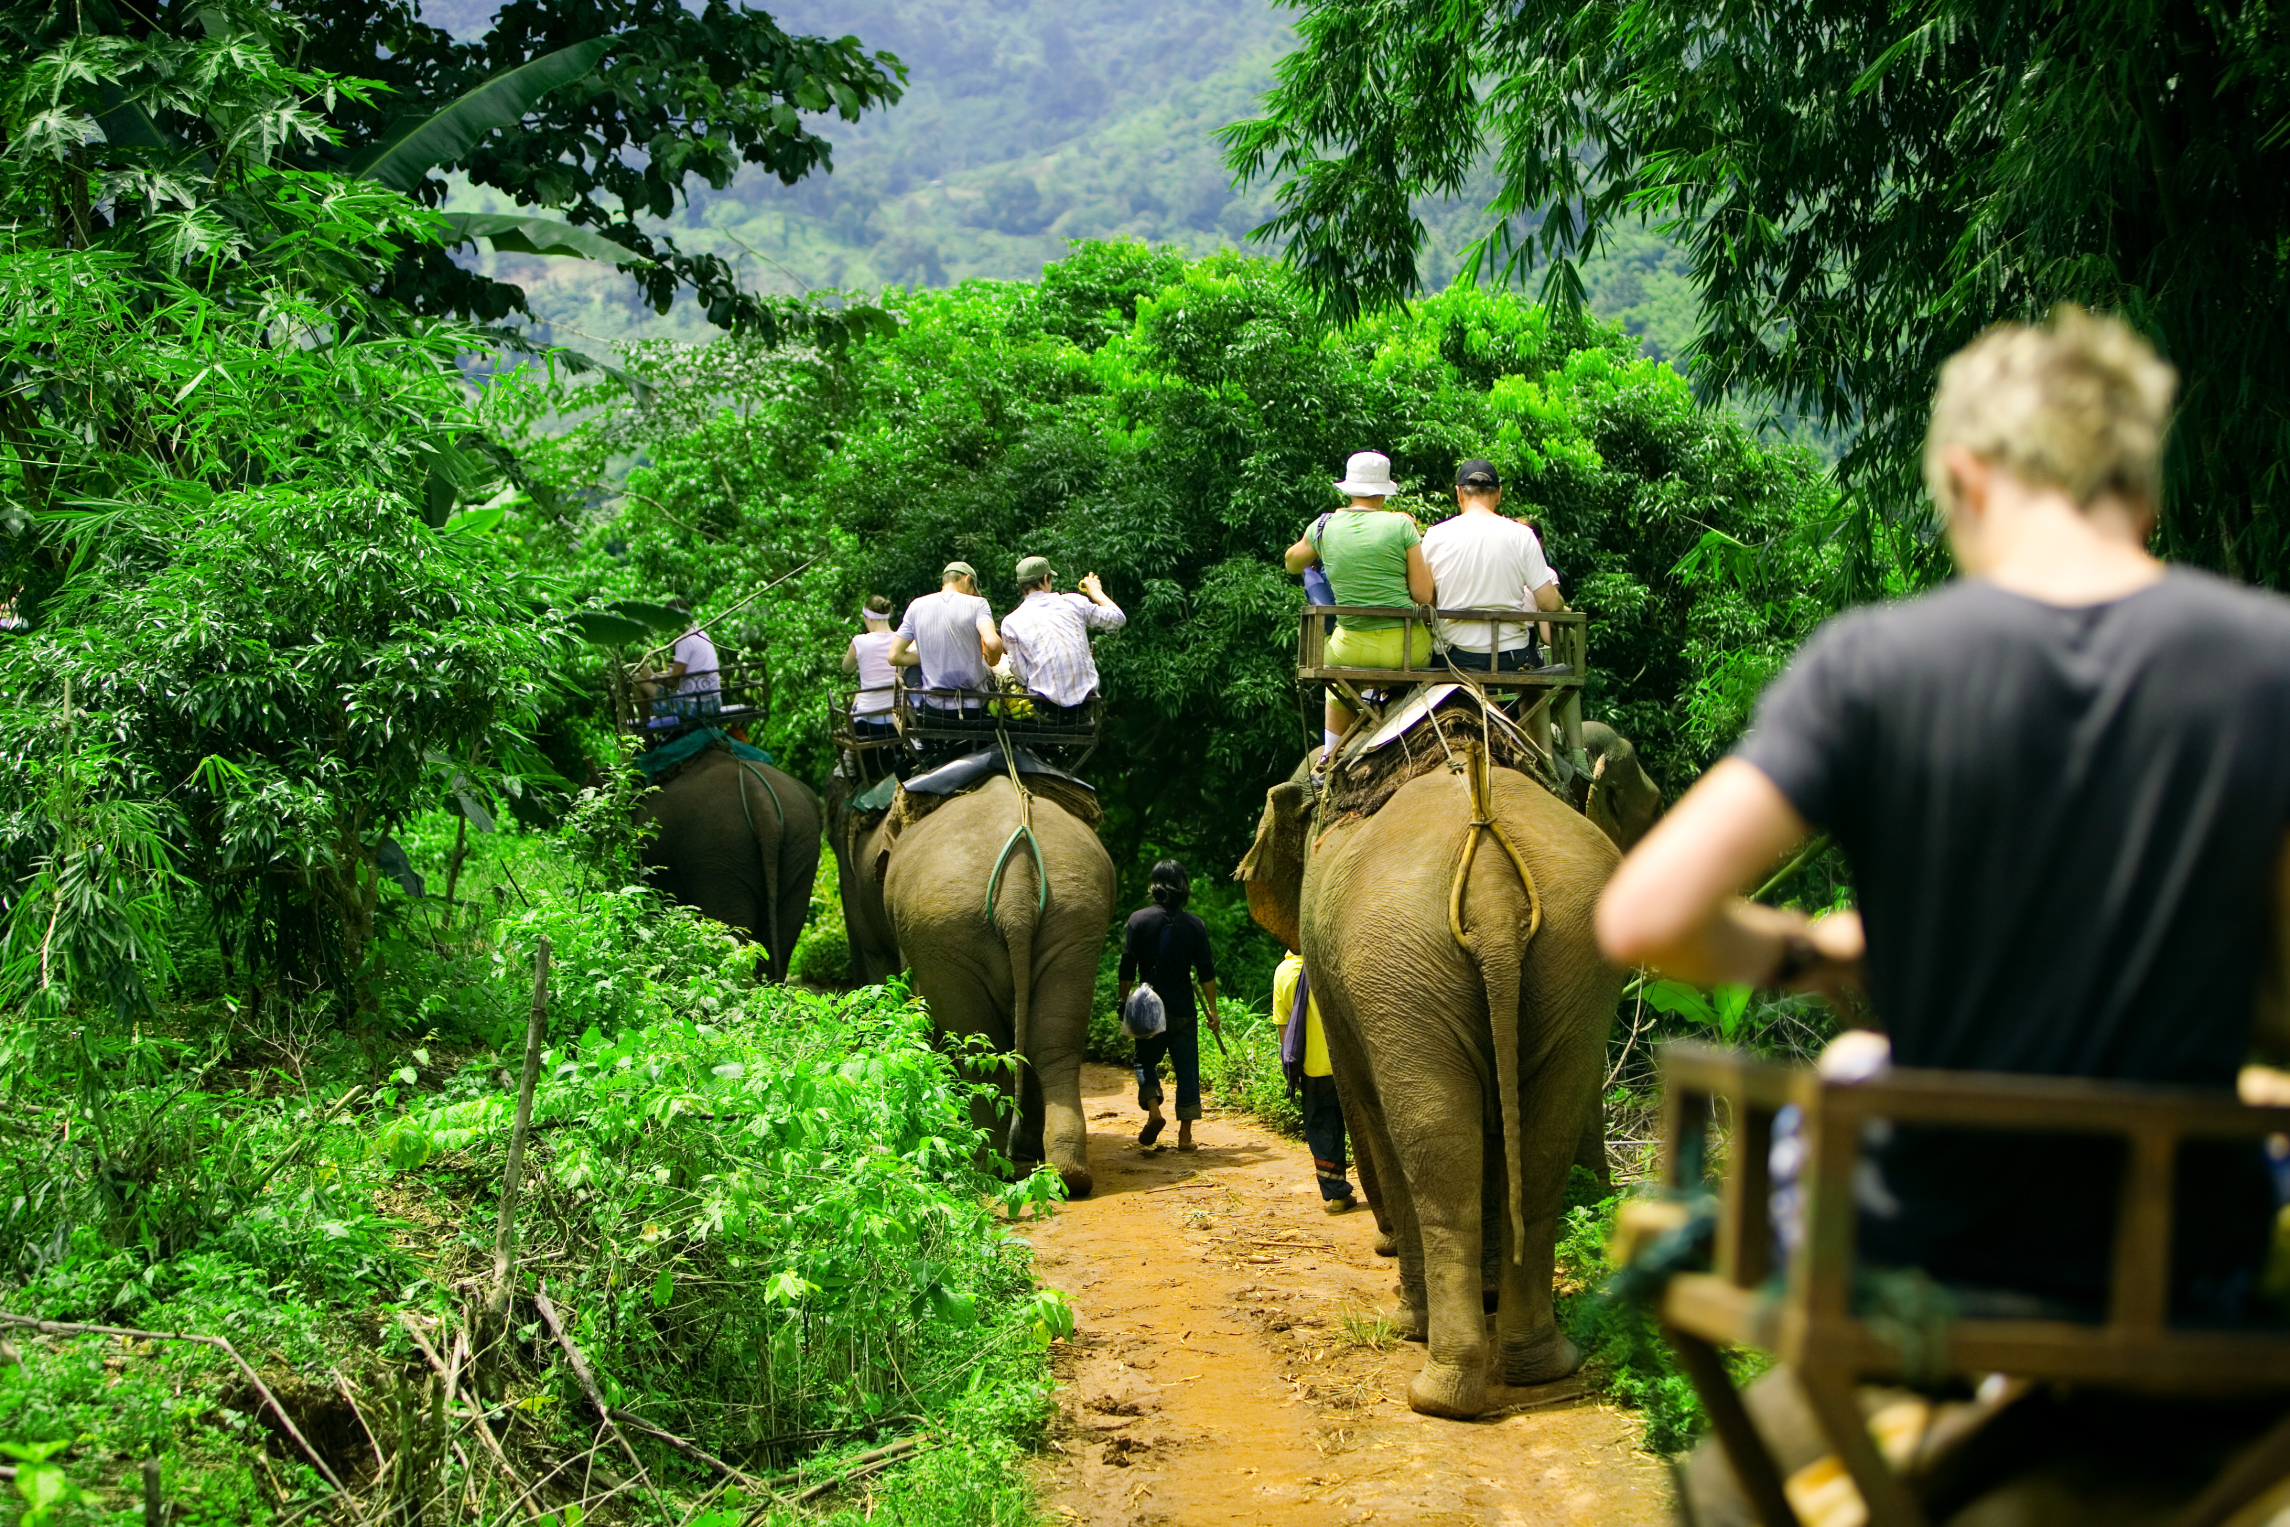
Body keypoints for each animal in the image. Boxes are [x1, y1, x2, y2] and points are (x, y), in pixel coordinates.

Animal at [833, 782, 1117, 1199]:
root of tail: (1016, 892)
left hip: (947, 933)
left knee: (981, 1050)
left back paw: (984, 1163)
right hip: (1075, 921)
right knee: (1052, 1045)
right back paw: (1065, 1174)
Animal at [1245, 741, 1639, 1419]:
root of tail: (1492, 886)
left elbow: (1366, 1108)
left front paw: (1412, 1314)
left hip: (1397, 969)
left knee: (1433, 1151)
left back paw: (1437, 1386)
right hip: (1574, 963)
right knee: (1540, 1150)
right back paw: (1538, 1364)